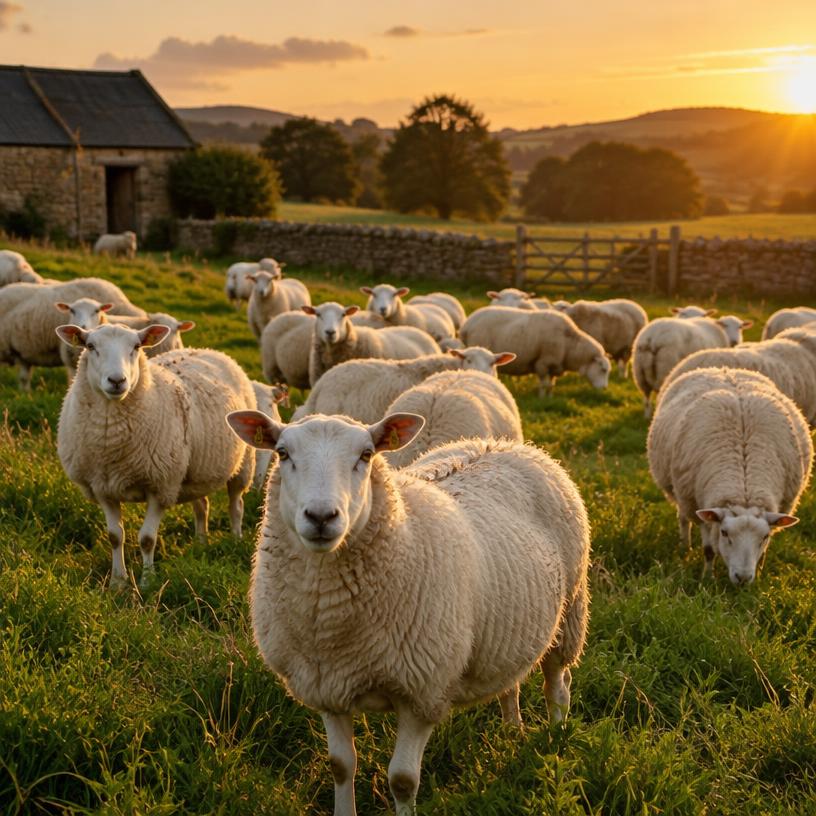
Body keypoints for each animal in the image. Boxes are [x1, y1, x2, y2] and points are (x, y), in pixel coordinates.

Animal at [55, 323, 256, 587]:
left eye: (136, 347)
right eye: (90, 346)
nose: (117, 380)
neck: (111, 443)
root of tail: (208, 350)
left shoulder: (160, 487)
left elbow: (147, 539)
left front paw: (147, 581)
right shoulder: (103, 488)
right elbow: (114, 536)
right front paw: (117, 582)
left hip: (243, 464)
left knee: (236, 505)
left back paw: (235, 539)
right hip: (194, 472)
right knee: (202, 506)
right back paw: (200, 543)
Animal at [226, 410, 590, 816]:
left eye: (366, 455)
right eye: (283, 452)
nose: (321, 516)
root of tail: (510, 446)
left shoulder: (423, 693)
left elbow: (402, 780)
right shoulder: (327, 687)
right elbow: (340, 766)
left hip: (570, 612)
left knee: (557, 685)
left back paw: (555, 741)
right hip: (506, 629)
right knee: (509, 683)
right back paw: (513, 732)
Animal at [459, 306, 610, 396]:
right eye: (603, 370)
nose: (604, 388)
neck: (569, 344)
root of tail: (467, 324)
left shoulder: (554, 365)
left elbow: (551, 384)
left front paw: (550, 397)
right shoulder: (543, 362)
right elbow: (544, 384)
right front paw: (542, 398)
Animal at [648, 367, 812, 585]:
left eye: (764, 536)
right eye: (724, 533)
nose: (742, 578)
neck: (744, 489)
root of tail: (723, 368)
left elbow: (763, 554)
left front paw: (758, 577)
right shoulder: (701, 508)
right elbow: (709, 550)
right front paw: (707, 578)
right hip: (680, 493)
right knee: (683, 518)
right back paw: (685, 546)